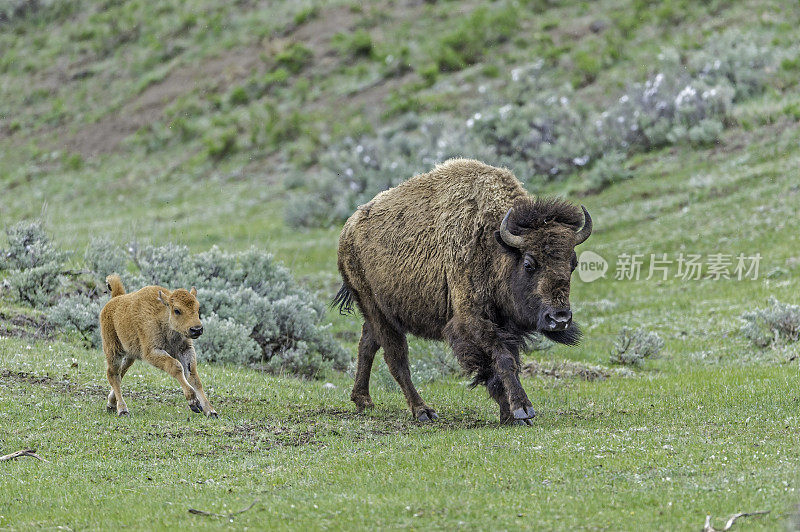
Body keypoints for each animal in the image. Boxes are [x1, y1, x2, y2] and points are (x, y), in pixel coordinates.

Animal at [99, 276, 217, 418]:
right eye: (177, 310)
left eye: (198, 308)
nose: (197, 329)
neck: (163, 318)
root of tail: (115, 299)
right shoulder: (152, 353)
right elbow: (176, 367)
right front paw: (193, 402)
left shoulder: (185, 350)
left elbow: (193, 376)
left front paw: (210, 410)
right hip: (113, 350)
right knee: (113, 375)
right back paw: (122, 410)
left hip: (130, 355)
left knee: (121, 373)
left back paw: (111, 404)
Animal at [334, 158, 592, 424]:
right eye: (529, 263)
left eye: (573, 263)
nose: (559, 318)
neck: (495, 243)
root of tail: (347, 230)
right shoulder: (472, 321)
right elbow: (503, 359)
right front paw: (523, 409)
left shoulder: (503, 323)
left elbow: (503, 362)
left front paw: (509, 416)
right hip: (378, 311)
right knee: (396, 359)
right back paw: (423, 411)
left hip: (378, 313)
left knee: (367, 344)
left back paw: (363, 401)